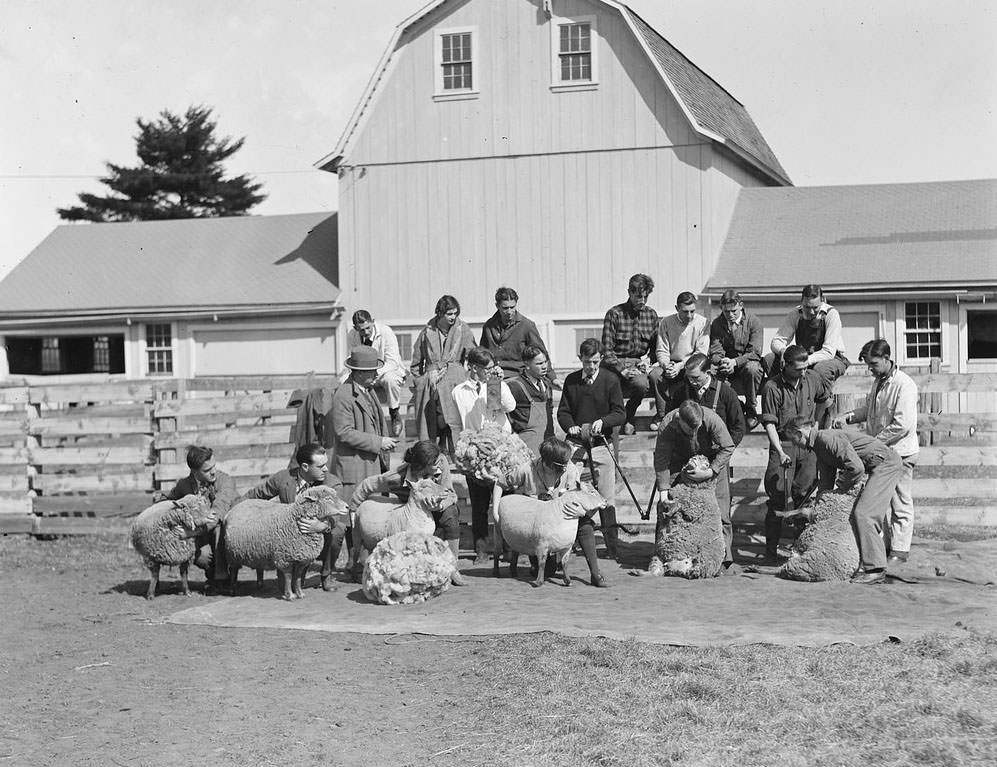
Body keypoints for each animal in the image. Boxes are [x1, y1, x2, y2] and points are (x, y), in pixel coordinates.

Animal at [644, 452, 724, 580]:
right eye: (694, 458)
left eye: (706, 464)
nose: (694, 458)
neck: (691, 487)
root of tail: (677, 567)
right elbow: (665, 506)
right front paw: (668, 509)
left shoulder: (695, 507)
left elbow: (682, 504)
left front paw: (673, 508)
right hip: (657, 557)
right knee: (656, 570)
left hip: (706, 558)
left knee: (700, 568)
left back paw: (694, 572)